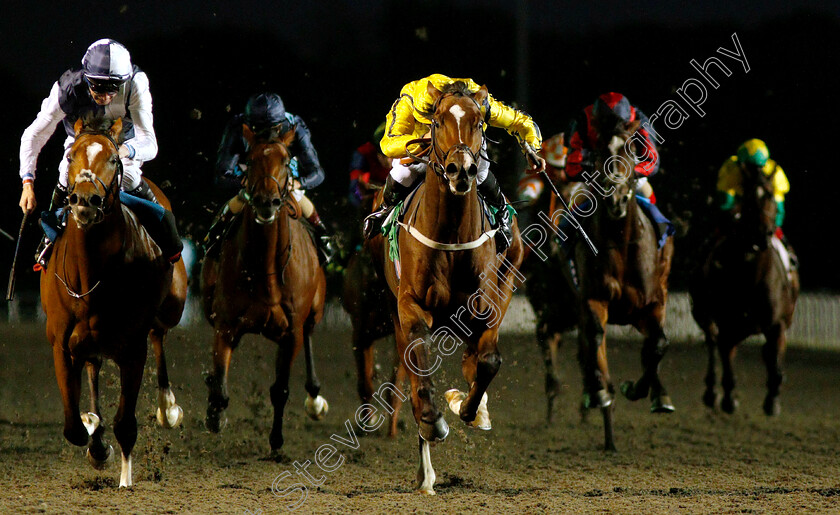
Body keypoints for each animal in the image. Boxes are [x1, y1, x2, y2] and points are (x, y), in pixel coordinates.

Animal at [40, 117, 187, 488]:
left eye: (113, 159)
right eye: (71, 155)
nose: (85, 200)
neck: (91, 277)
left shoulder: (132, 347)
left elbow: (125, 423)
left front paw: (125, 479)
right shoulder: (61, 342)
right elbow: (73, 426)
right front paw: (96, 442)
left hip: (171, 306)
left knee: (159, 334)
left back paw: (168, 407)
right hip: (91, 342)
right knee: (94, 367)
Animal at [200, 124, 328, 452]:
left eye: (285, 160)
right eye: (251, 159)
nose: (266, 201)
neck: (265, 268)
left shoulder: (292, 332)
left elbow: (280, 389)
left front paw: (277, 439)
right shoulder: (225, 324)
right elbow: (219, 386)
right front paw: (214, 416)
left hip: (315, 310)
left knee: (311, 333)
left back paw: (315, 397)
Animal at [370, 81, 520, 496]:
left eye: (479, 121)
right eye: (436, 121)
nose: (461, 169)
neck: (451, 234)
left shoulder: (486, 303)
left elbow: (489, 361)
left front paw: (466, 407)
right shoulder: (410, 306)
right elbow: (419, 363)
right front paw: (433, 421)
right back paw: (426, 472)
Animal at [572, 124, 676, 452]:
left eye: (632, 151)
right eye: (599, 152)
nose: (615, 200)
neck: (620, 243)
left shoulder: (649, 304)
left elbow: (659, 344)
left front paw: (643, 390)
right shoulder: (593, 298)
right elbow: (595, 339)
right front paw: (601, 391)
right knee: (591, 344)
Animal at [688, 160, 800, 416]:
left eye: (770, 195)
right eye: (748, 197)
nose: (761, 233)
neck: (752, 274)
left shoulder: (777, 322)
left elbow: (773, 355)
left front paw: (774, 396)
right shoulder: (727, 321)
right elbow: (725, 350)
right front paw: (729, 395)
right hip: (703, 312)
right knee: (713, 342)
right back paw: (713, 391)